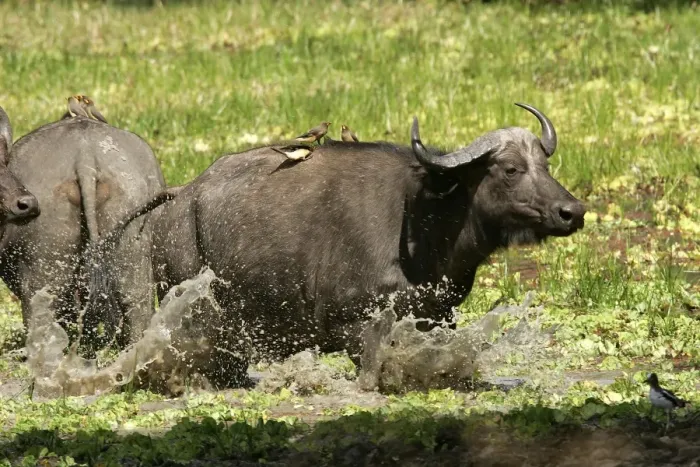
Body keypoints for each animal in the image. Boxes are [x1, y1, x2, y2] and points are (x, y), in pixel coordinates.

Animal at [89, 103, 585, 387]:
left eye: (544, 164)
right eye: (510, 169)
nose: (572, 211)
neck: (423, 223)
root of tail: (179, 197)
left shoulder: (437, 318)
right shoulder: (354, 326)